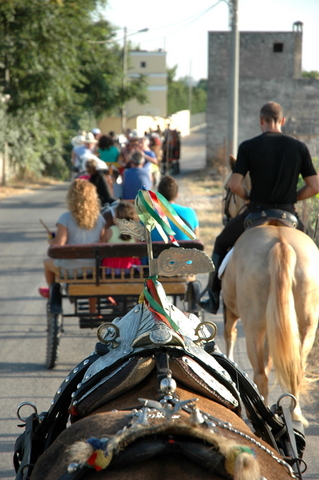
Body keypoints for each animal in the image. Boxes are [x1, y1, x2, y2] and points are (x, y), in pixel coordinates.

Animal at [221, 167, 319, 426]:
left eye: (228, 189)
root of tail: (281, 244)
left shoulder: (230, 311)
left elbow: (229, 336)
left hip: (254, 325)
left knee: (260, 375)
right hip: (306, 323)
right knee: (296, 368)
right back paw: (295, 414)